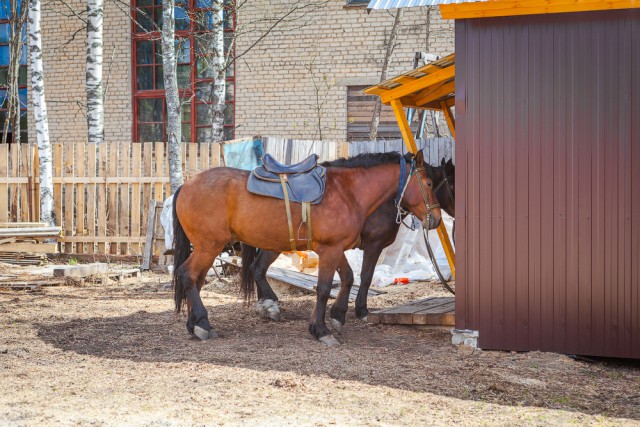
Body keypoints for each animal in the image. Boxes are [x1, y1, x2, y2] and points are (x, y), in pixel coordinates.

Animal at [171, 149, 440, 346]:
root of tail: (186, 185)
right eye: (428, 183)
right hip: (209, 246)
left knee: (199, 279)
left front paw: (338, 315)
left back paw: (196, 324)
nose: (435, 219)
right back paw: (203, 324)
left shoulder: (335, 248)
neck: (348, 192)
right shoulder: (332, 250)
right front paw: (321, 330)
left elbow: (348, 278)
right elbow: (324, 288)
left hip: (210, 248)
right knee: (187, 275)